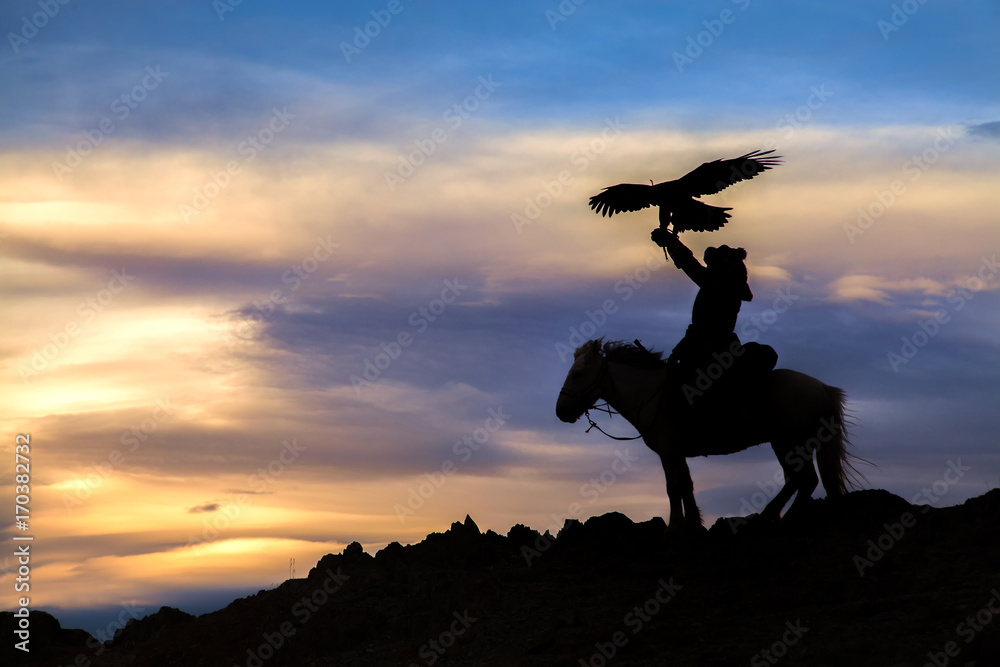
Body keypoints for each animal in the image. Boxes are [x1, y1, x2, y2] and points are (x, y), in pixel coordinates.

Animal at [556, 340, 868, 532]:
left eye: (578, 374)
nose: (561, 411)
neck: (651, 394)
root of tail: (823, 388)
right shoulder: (677, 452)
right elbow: (687, 486)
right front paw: (693, 524)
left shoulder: (668, 451)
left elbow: (673, 487)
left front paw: (674, 527)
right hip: (790, 444)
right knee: (800, 481)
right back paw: (772, 518)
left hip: (789, 443)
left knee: (803, 480)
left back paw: (776, 519)